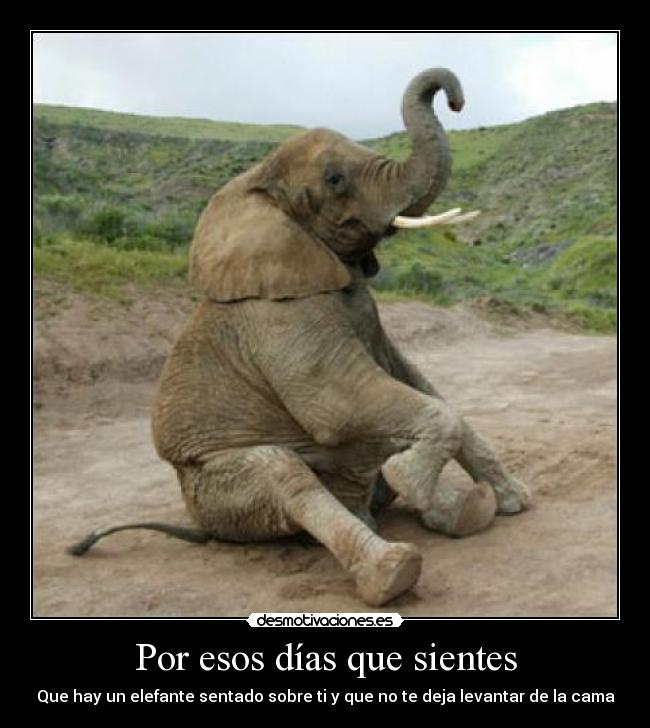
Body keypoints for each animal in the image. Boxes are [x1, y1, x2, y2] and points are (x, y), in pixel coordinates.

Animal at [68, 68, 530, 606]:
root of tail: (202, 527)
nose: (455, 99)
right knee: (285, 474)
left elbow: (419, 384)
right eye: (334, 180)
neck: (256, 185)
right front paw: (410, 478)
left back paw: (465, 510)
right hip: (218, 491)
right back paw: (392, 570)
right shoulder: (279, 316)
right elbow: (338, 404)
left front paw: (515, 501)